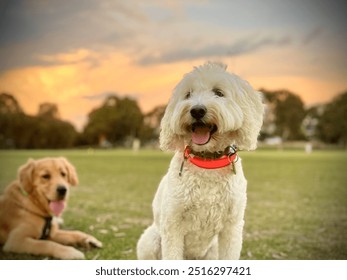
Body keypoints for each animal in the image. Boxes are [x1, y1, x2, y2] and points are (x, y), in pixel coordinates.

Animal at [137, 61, 266, 260]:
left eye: (219, 92)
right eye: (188, 94)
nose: (197, 110)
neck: (207, 162)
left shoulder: (232, 226)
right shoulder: (172, 224)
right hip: (150, 241)